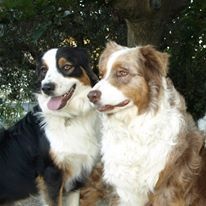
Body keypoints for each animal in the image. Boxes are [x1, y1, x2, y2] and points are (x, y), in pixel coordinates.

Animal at [0, 47, 100, 206]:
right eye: (43, 70)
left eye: (67, 67)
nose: (46, 87)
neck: (68, 117)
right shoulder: (51, 174)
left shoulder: (77, 175)